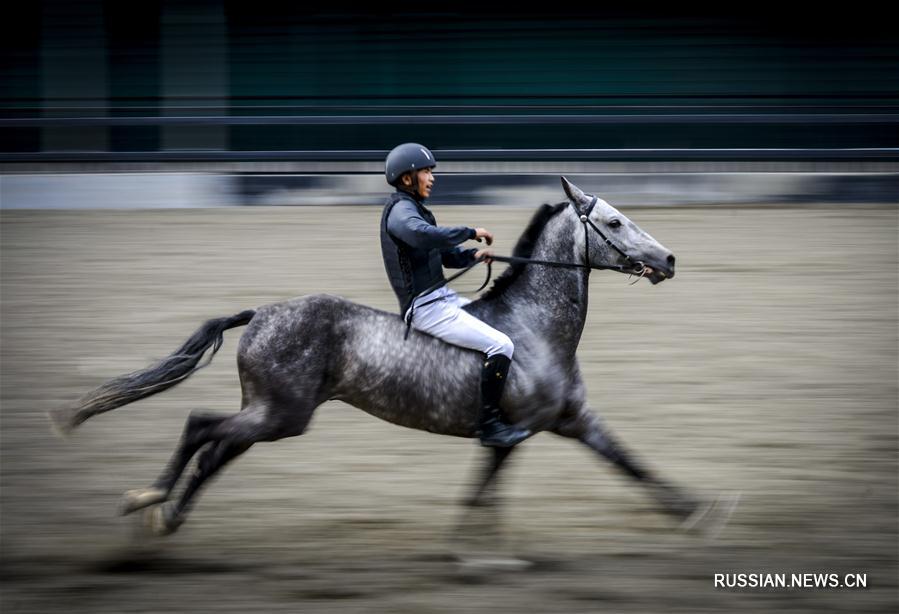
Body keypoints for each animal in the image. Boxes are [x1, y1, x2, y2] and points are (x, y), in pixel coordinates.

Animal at [47, 177, 732, 540]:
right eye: (613, 222)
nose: (669, 259)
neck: (536, 330)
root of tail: (262, 313)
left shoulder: (564, 423)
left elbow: (627, 464)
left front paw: (699, 511)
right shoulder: (519, 430)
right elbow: (488, 494)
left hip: (271, 415)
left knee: (216, 448)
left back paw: (167, 518)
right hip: (280, 415)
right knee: (200, 427)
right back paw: (148, 501)